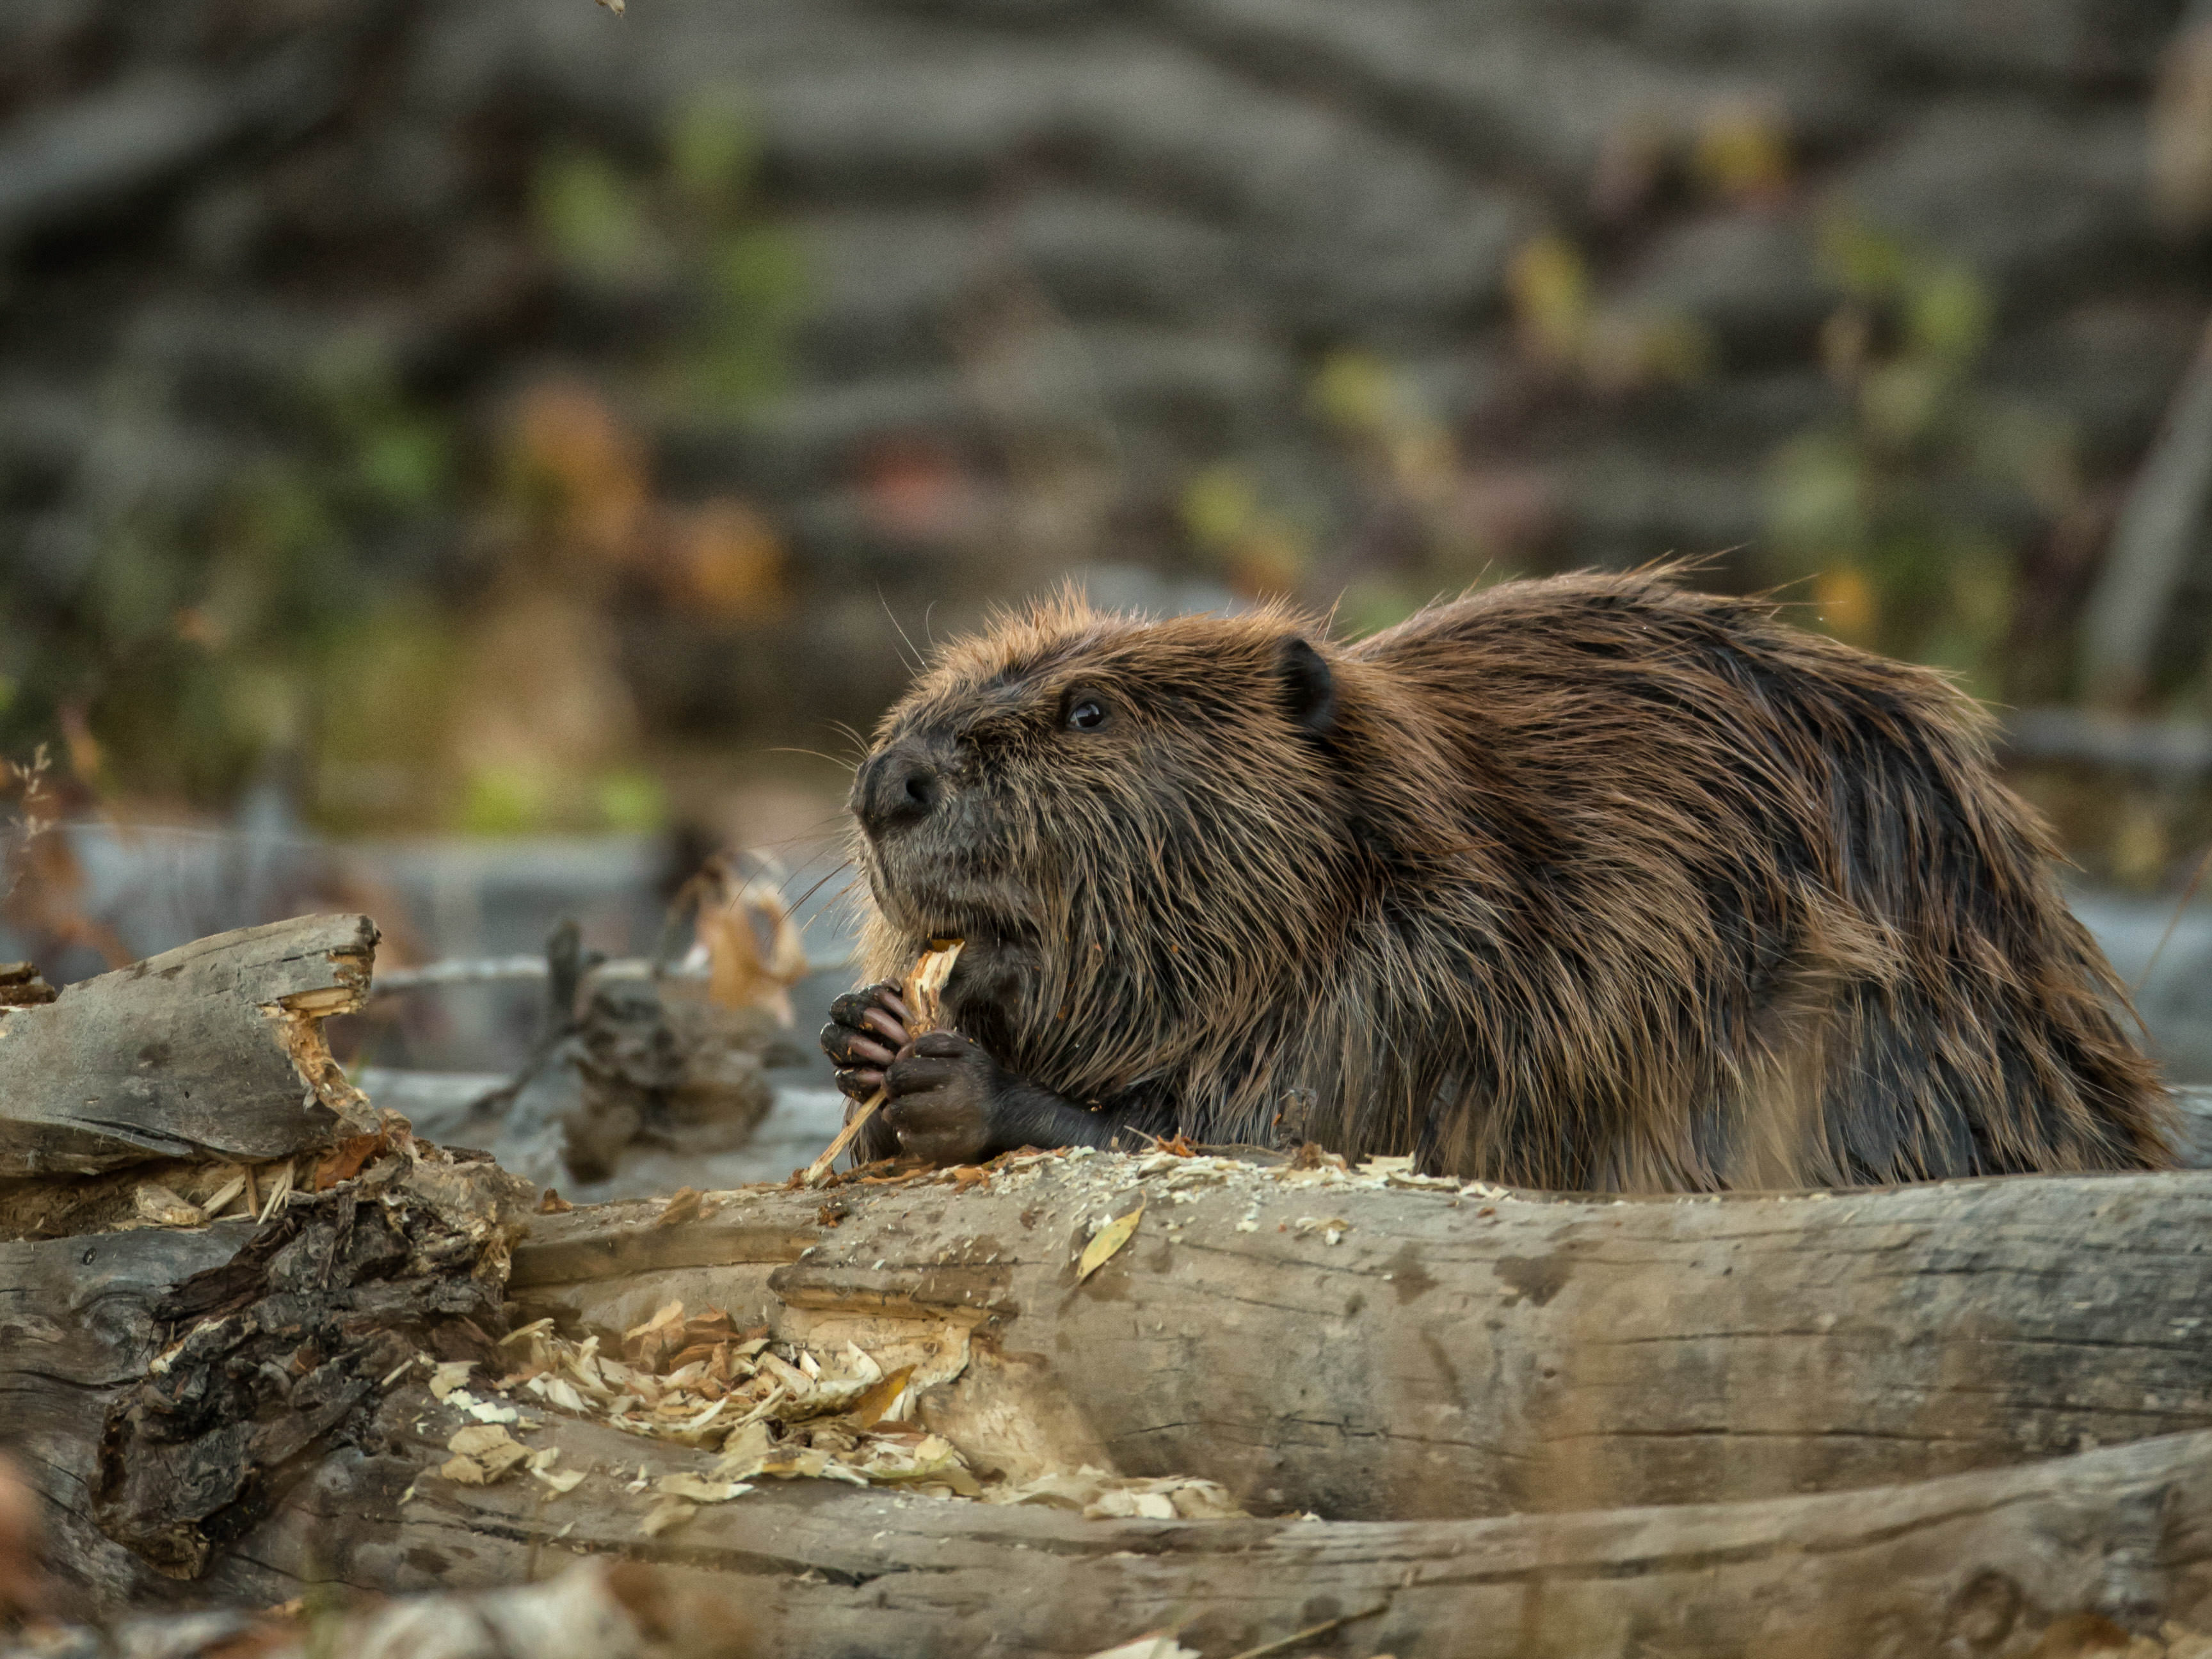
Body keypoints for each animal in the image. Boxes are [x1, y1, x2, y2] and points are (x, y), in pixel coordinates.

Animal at [818, 570, 2176, 1194]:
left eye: (1089, 709)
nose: (889, 779)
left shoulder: (1440, 979)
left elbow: (1273, 1139)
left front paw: (955, 1079)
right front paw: (865, 1031)